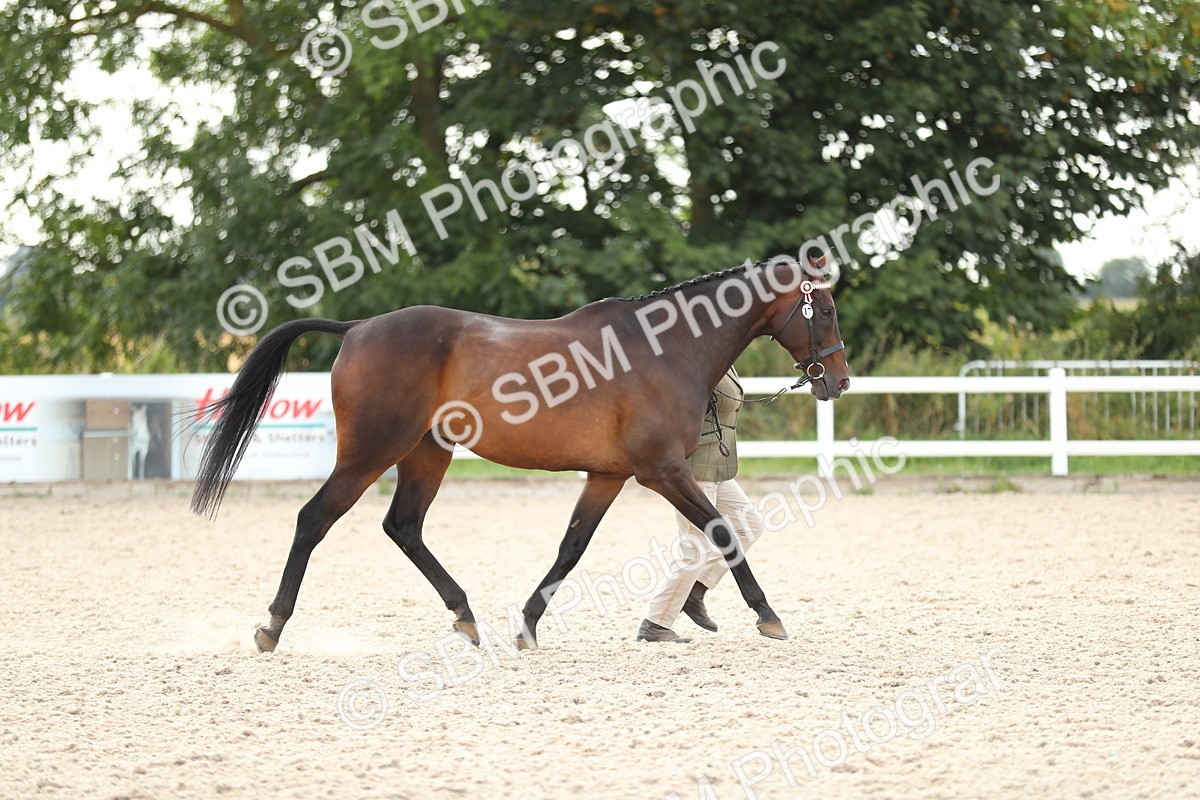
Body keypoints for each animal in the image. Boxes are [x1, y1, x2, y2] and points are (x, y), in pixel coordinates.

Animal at [191, 255, 851, 653]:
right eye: (824, 309)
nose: (838, 382)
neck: (666, 349)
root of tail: (356, 328)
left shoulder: (608, 475)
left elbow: (571, 549)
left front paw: (529, 626)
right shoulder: (662, 471)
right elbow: (721, 531)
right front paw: (768, 616)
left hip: (427, 454)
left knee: (403, 526)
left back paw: (465, 616)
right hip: (369, 454)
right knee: (314, 519)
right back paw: (272, 626)